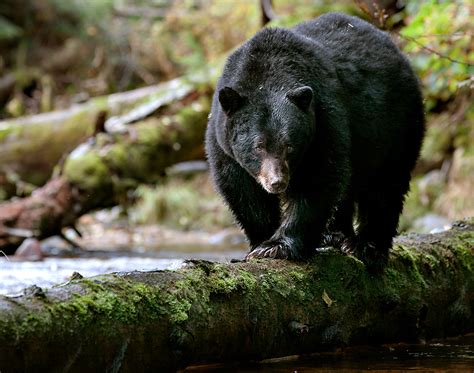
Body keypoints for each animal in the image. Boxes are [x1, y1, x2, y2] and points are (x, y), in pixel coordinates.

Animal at [206, 13, 424, 268]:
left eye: (289, 145)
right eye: (258, 146)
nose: (277, 182)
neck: (267, 71)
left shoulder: (323, 118)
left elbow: (318, 179)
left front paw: (277, 246)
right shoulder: (222, 140)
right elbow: (240, 188)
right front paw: (261, 240)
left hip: (396, 124)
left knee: (386, 183)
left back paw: (367, 246)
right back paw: (335, 234)